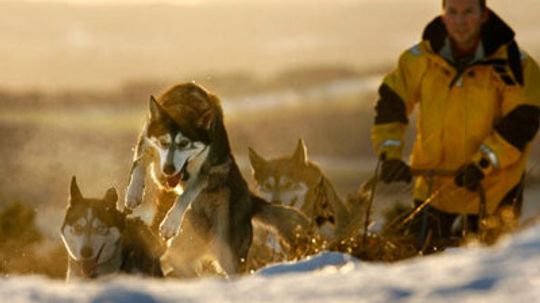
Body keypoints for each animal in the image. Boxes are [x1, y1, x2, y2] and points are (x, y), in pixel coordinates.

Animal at [122, 83, 308, 278]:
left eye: (184, 144)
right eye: (163, 142)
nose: (169, 169)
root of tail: (250, 201)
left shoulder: (206, 172)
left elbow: (185, 196)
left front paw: (170, 224)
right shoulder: (147, 143)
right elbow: (139, 164)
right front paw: (133, 194)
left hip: (227, 252)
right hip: (182, 252)